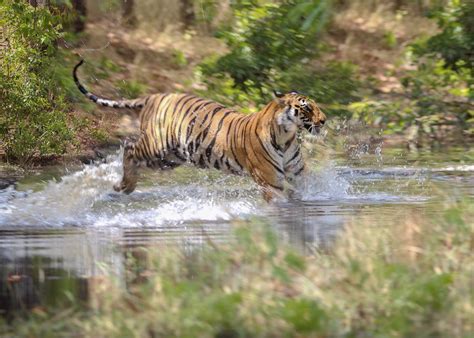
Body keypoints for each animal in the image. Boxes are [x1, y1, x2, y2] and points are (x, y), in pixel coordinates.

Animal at [74, 59, 326, 201]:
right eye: (307, 107)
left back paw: (126, 187)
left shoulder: (298, 171)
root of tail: (154, 96)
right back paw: (124, 185)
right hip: (156, 146)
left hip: (169, 158)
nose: (324, 121)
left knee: (134, 155)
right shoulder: (270, 180)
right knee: (129, 148)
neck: (286, 135)